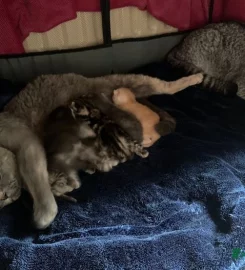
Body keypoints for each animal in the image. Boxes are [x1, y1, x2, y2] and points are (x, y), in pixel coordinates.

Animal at [0, 71, 203, 228]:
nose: (5, 196)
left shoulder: (27, 142)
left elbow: (37, 178)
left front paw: (43, 215)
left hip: (122, 81)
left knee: (161, 85)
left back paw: (196, 77)